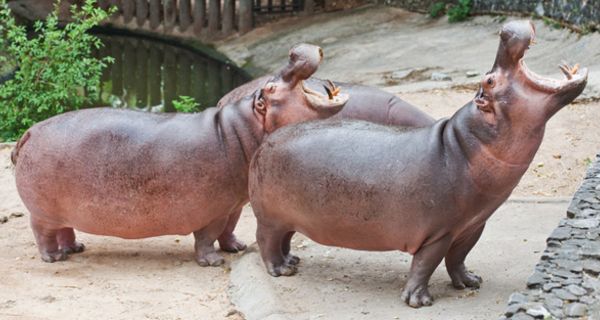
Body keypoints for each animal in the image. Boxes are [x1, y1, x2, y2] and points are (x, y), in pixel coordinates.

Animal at [11, 43, 350, 266]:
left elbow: (229, 228)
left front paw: (237, 247)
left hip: (61, 210)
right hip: (43, 210)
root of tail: (30, 132)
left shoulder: (234, 204)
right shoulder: (213, 209)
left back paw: (75, 248)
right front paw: (213, 261)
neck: (241, 131)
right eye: (269, 87)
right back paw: (55, 257)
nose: (295, 51)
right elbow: (207, 236)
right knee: (42, 231)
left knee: (65, 229)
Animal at [247, 20, 584, 308]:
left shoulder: (473, 225)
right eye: (489, 80)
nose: (504, 30)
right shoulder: (439, 231)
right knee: (265, 240)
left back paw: (292, 261)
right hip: (270, 216)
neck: (463, 145)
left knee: (286, 238)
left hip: (289, 216)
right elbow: (427, 262)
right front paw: (419, 301)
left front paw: (470, 281)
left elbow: (458, 257)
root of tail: (266, 141)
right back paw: (281, 270)